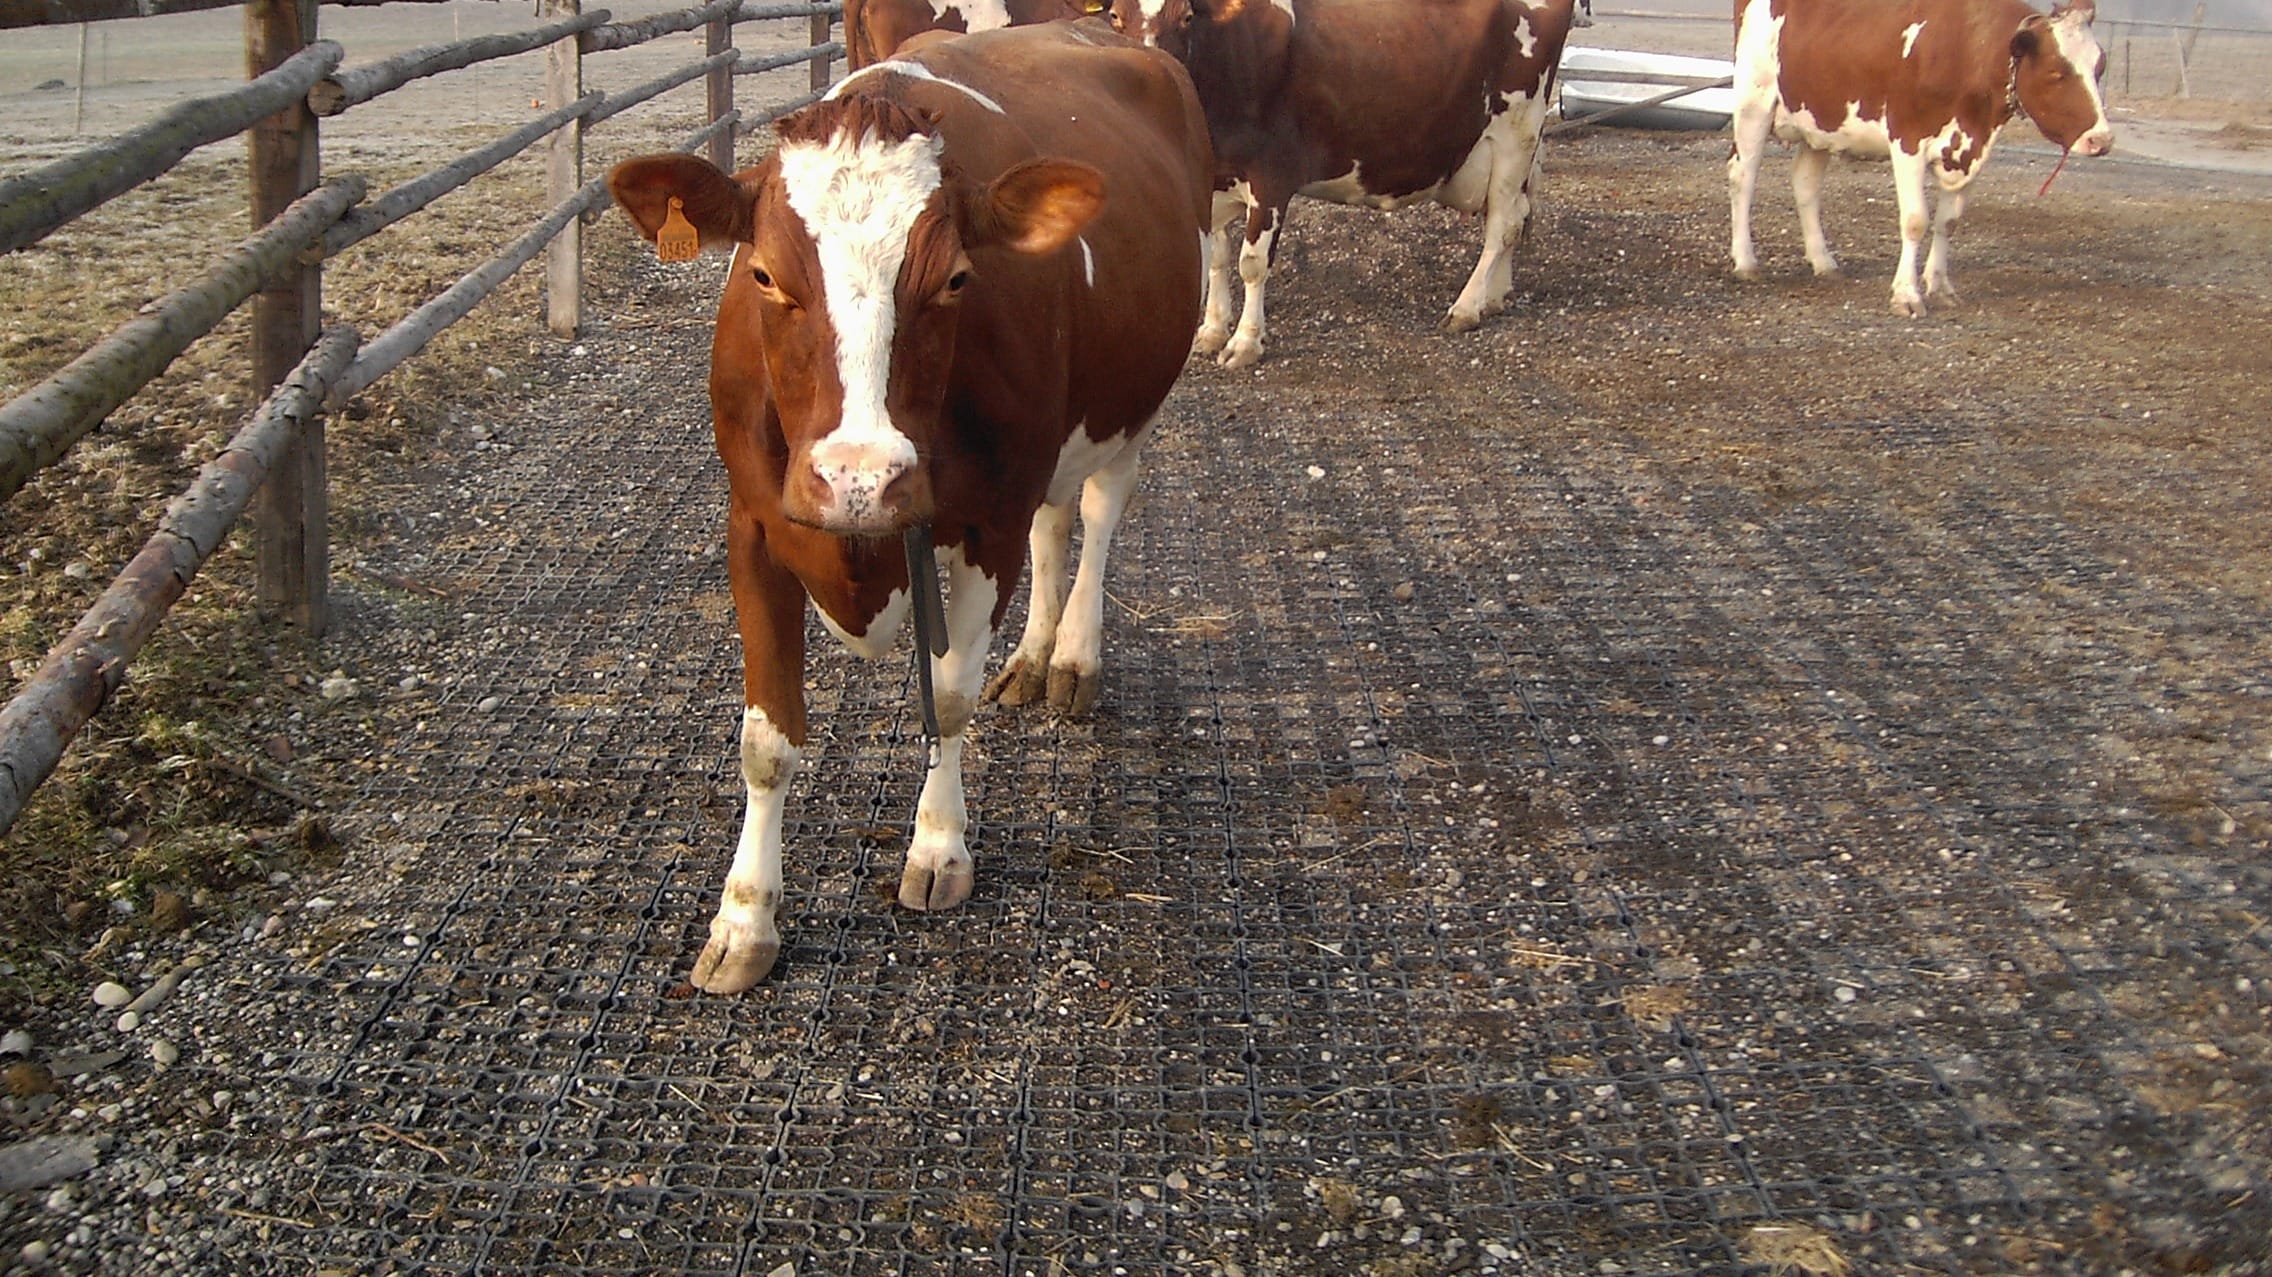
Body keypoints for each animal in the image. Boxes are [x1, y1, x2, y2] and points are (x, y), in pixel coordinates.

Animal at [599, 22, 1208, 995]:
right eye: (762, 274)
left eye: (956, 278)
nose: (859, 477)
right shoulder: (753, 526)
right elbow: (765, 740)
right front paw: (743, 919)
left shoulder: (987, 520)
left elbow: (948, 700)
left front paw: (938, 847)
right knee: (1054, 520)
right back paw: (1032, 658)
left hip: (1136, 400)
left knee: (1100, 508)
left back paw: (1073, 657)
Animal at [1104, 0, 1572, 368]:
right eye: (1114, 16)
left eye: (1186, 16)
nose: (1153, 73)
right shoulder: (1215, 175)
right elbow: (1217, 256)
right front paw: (1212, 330)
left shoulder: (1272, 174)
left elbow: (1251, 263)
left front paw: (1245, 342)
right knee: (1514, 216)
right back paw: (1495, 295)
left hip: (1516, 131)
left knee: (1501, 227)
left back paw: (1467, 306)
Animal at [1726, 0, 2117, 315]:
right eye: (2057, 73)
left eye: (2100, 68)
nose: (2102, 139)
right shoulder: (1908, 139)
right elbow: (1915, 220)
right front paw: (1907, 295)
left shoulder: (1971, 150)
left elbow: (1948, 222)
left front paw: (1941, 287)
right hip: (1754, 100)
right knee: (1742, 175)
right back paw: (1746, 262)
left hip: (1822, 119)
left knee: (1805, 183)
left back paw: (1824, 262)